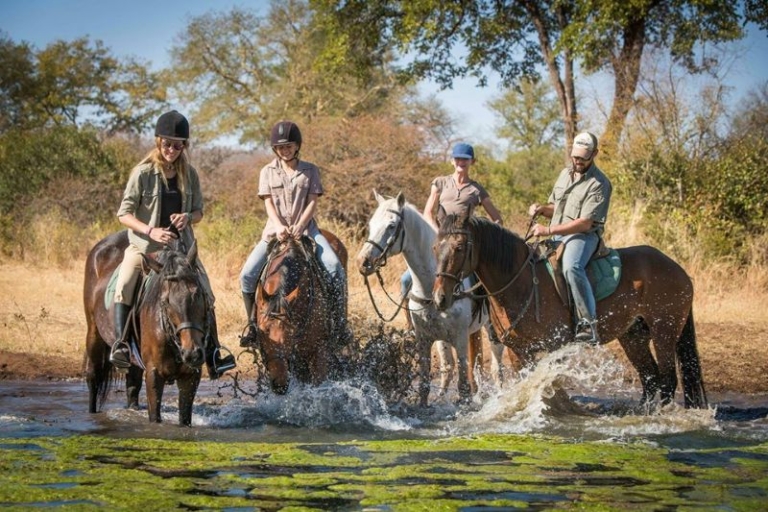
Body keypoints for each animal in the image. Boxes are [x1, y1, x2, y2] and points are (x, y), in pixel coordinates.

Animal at [83, 231, 211, 426]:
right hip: (93, 333)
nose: (193, 353)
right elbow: (154, 417)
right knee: (93, 378)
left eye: (198, 295)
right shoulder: (153, 374)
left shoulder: (190, 377)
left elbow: (184, 419)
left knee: (132, 386)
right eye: (166, 302)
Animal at [356, 191, 508, 406]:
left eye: (391, 226)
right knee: (449, 368)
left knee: (496, 367)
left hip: (492, 328)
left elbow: (463, 386)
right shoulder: (425, 339)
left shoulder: (460, 338)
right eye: (370, 225)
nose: (363, 262)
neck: (431, 289)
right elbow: (425, 383)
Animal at [432, 214, 708, 409]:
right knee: (650, 378)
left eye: (459, 247)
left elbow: (549, 384)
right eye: (435, 248)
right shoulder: (518, 351)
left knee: (667, 379)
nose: (439, 298)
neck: (521, 282)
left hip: (664, 333)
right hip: (634, 337)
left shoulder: (555, 346)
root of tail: (679, 270)